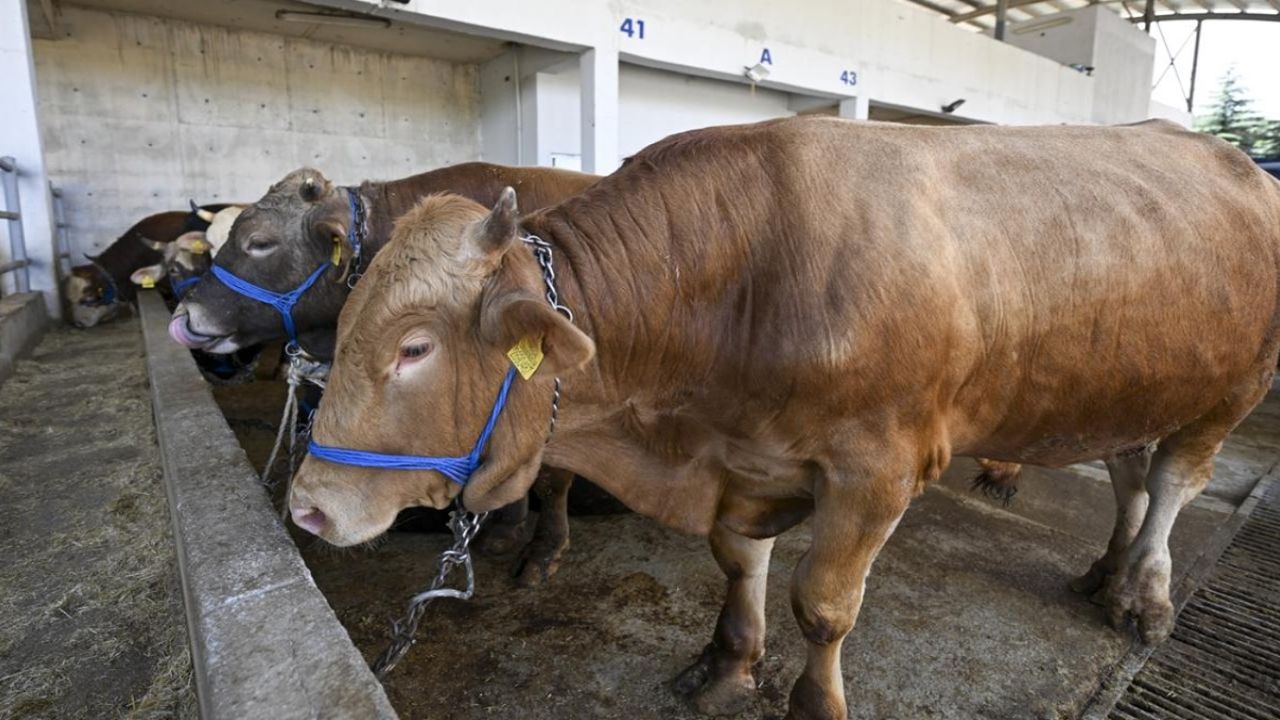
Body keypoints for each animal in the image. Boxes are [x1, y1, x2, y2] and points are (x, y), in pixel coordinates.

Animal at [285, 119, 1280, 717]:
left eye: (415, 347)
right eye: (347, 315)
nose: (307, 505)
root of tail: (1233, 160)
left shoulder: (876, 470)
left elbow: (823, 606)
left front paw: (814, 700)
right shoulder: (744, 460)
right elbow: (739, 566)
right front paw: (727, 665)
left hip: (1231, 391)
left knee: (1173, 483)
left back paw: (1146, 596)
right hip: (1130, 385)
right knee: (1128, 476)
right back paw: (1106, 571)